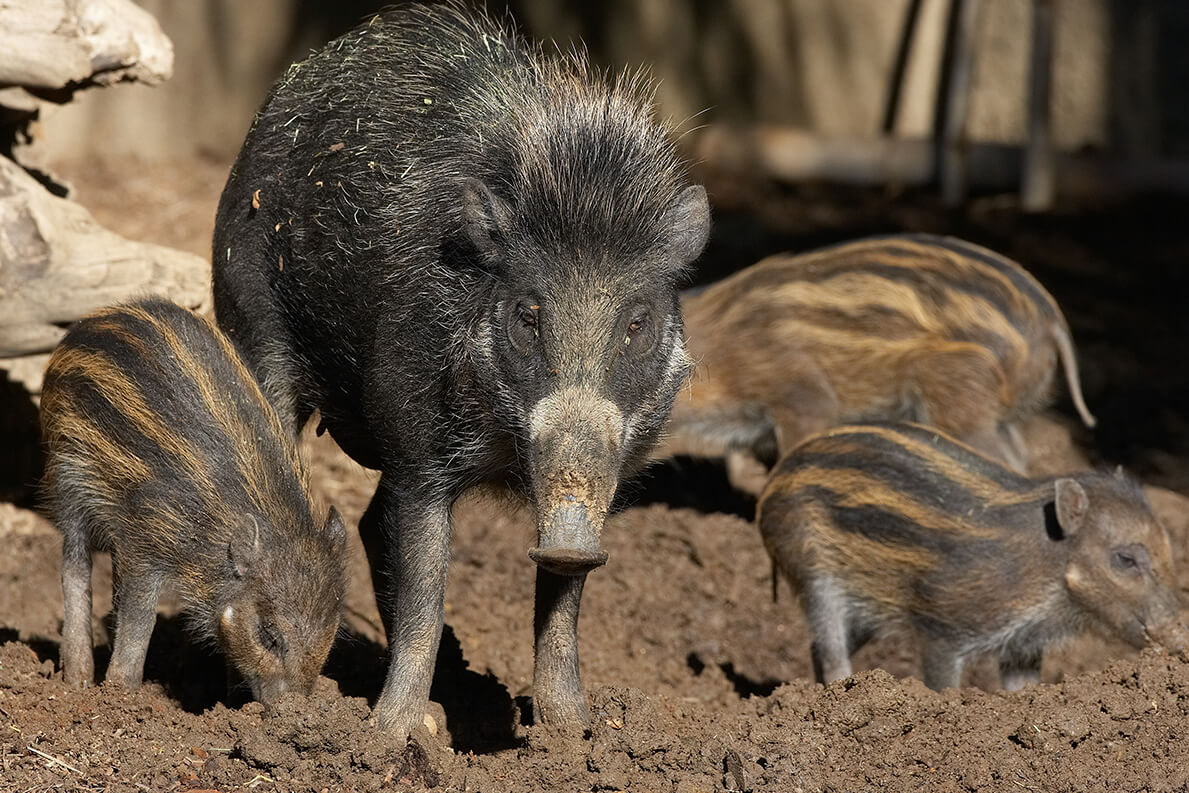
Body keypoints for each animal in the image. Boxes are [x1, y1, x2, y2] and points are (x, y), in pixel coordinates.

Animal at [210, 3, 708, 741]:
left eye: (638, 321)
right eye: (527, 313)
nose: (567, 541)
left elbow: (563, 596)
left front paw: (573, 734)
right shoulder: (417, 448)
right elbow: (426, 585)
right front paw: (387, 738)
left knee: (370, 522)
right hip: (249, 316)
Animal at [756, 425, 1184, 689]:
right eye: (1125, 560)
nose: (1181, 637)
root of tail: (774, 480)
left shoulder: (1024, 647)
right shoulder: (943, 629)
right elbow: (943, 684)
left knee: (818, 648)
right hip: (813, 574)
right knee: (829, 648)